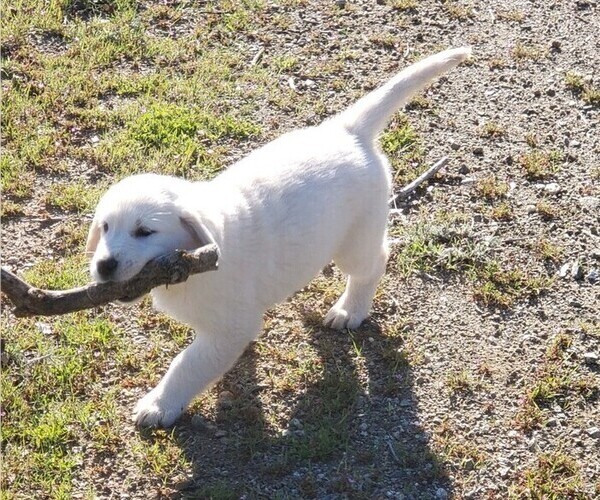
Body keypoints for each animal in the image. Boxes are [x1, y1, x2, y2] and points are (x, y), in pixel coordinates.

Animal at [85, 47, 468, 426]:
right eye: (105, 228)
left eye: (144, 231)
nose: (104, 266)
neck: (190, 264)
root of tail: (347, 131)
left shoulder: (229, 328)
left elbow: (188, 365)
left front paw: (160, 404)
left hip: (355, 240)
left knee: (373, 264)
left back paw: (350, 310)